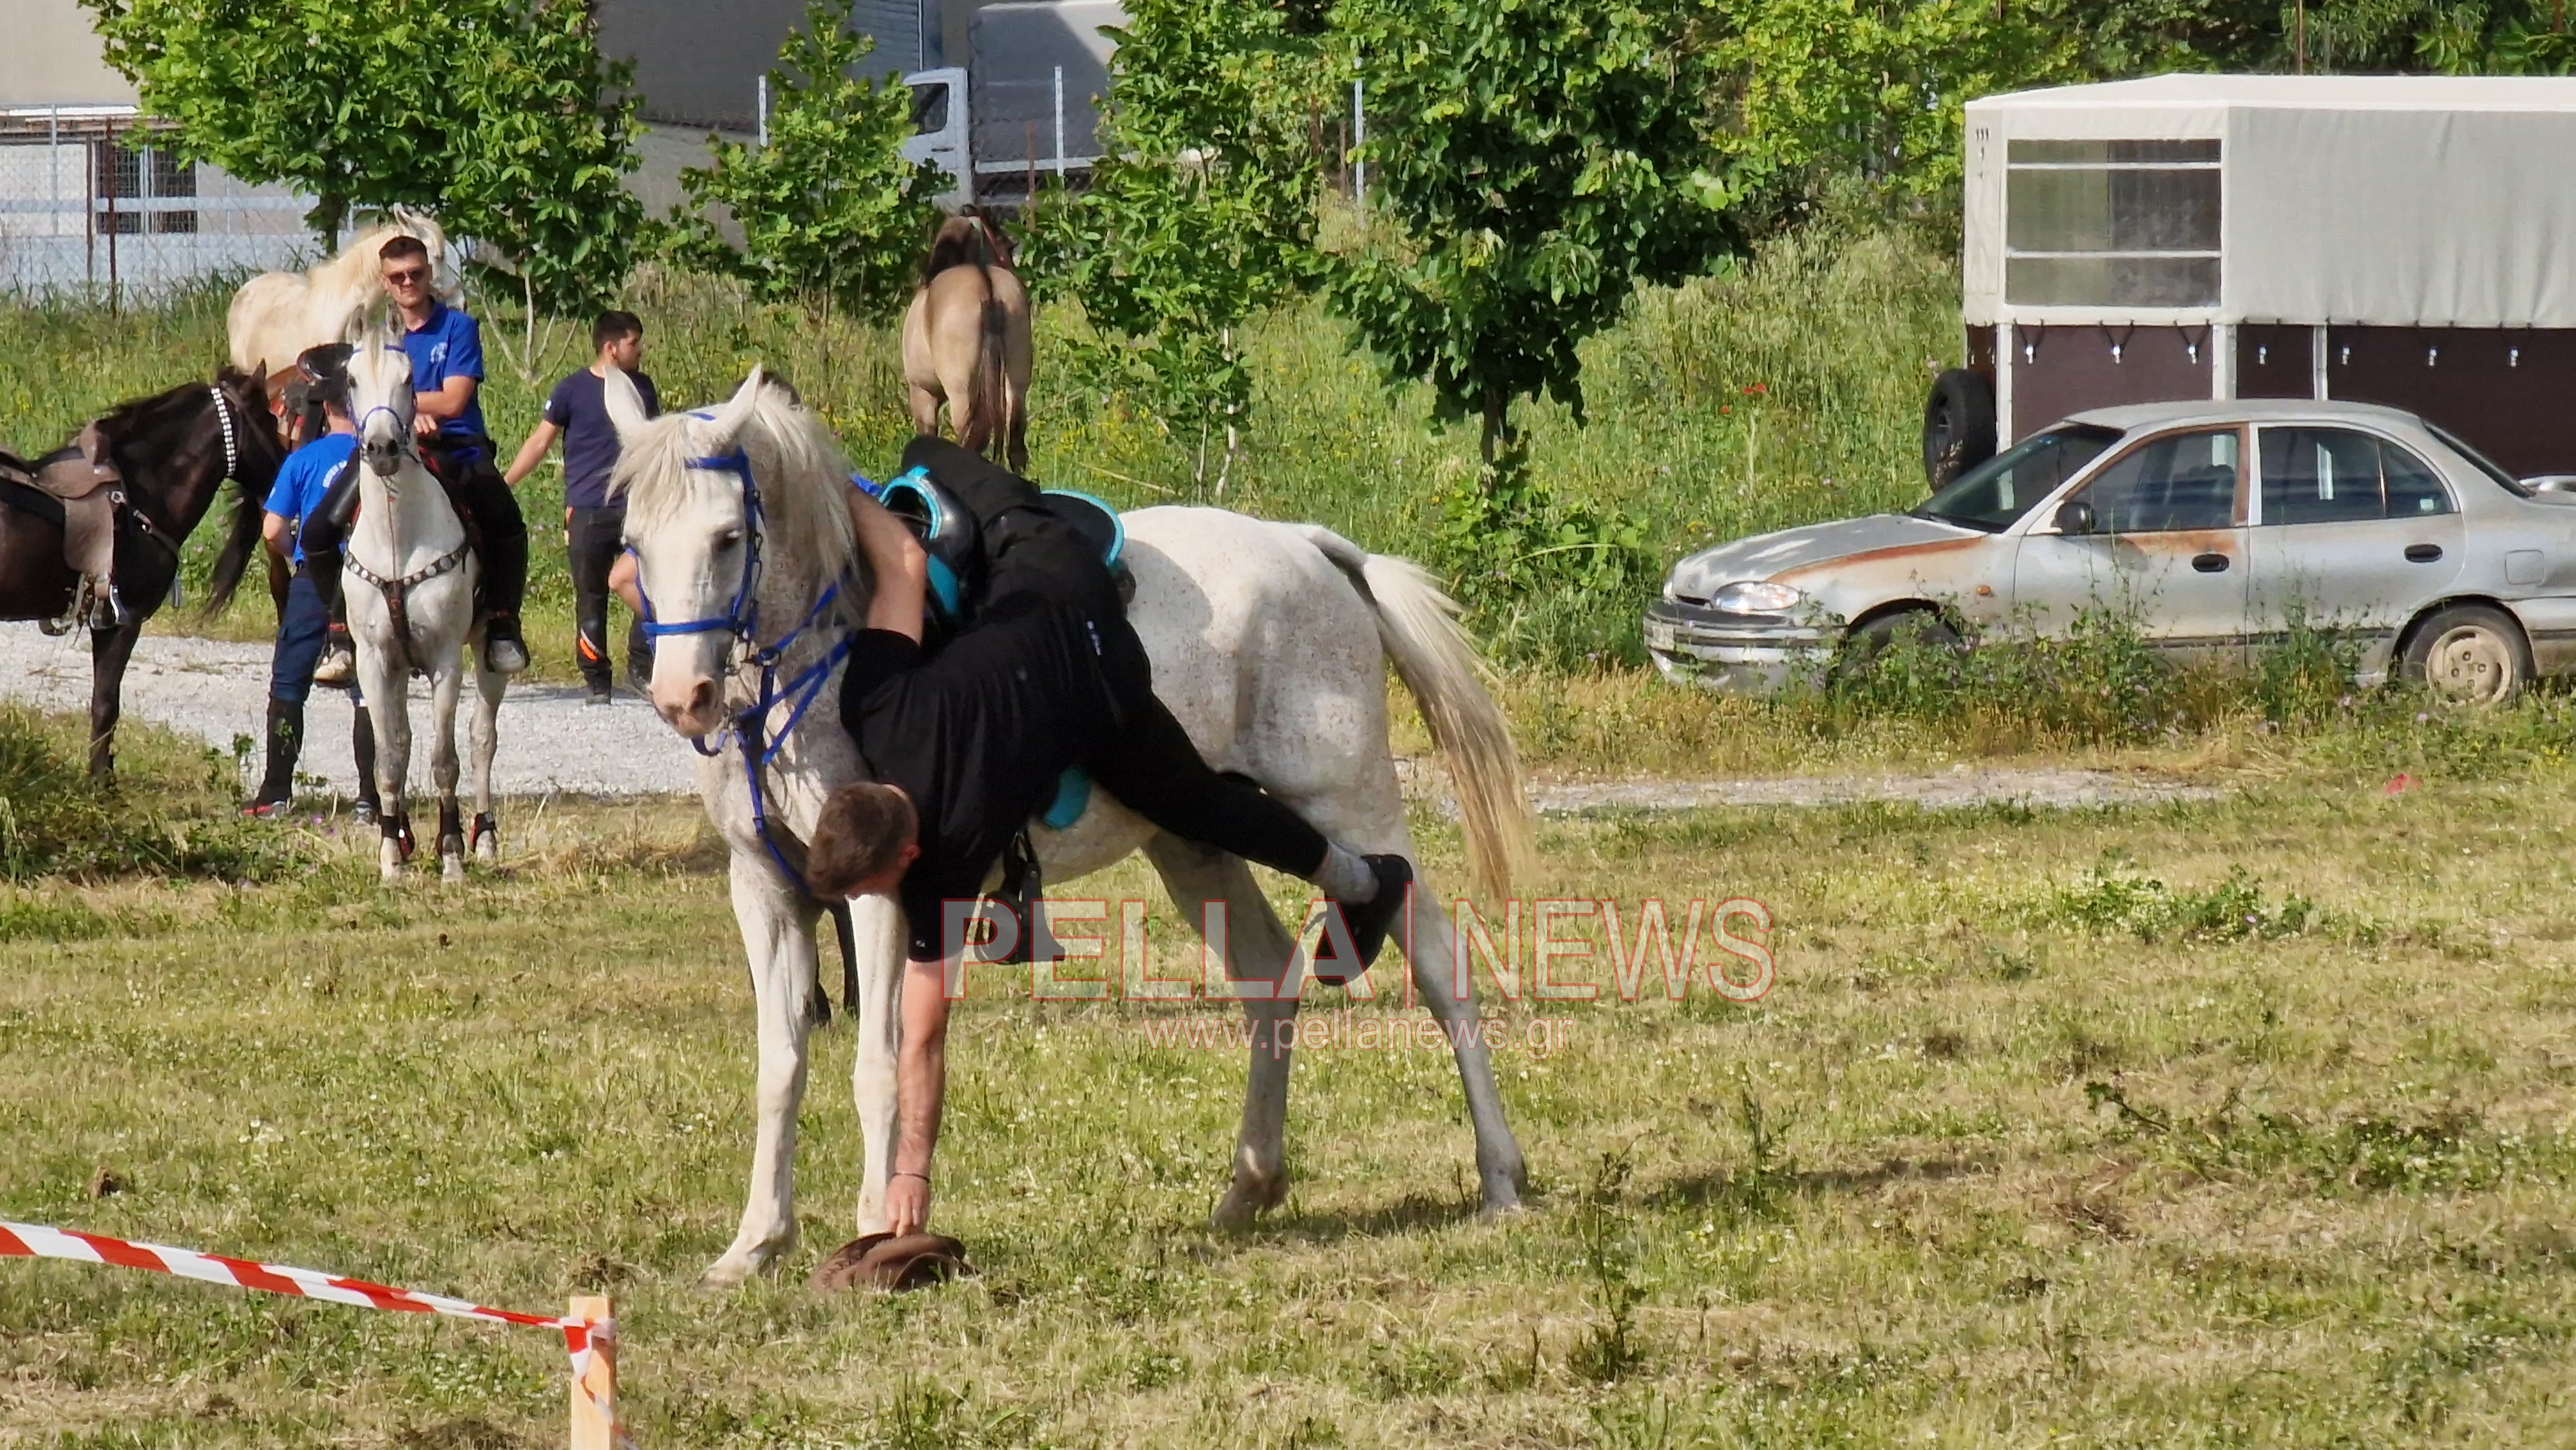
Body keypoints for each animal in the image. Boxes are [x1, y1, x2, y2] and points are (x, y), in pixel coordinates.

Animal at [343, 326, 502, 886]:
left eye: (410, 378)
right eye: (350, 378)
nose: (382, 447)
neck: (398, 539)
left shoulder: (445, 660)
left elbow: (444, 760)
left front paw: (451, 854)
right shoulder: (374, 662)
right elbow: (389, 760)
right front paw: (391, 855)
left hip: (488, 653)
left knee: (481, 740)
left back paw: (485, 839)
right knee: (406, 741)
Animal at [603, 368, 1525, 1288]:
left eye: (728, 538)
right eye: (635, 541)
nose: (681, 696)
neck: (810, 663)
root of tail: (1305, 545)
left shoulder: (885, 896)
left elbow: (879, 1065)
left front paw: (875, 1227)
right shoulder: (765, 888)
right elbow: (781, 1066)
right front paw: (755, 1242)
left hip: (1344, 795)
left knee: (1434, 956)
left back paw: (1500, 1176)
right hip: (1190, 834)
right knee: (1268, 973)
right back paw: (1251, 1185)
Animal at [902, 212, 1030, 474]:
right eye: (1007, 245)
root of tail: (988, 286)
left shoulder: (922, 392)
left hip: (961, 393)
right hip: (1017, 385)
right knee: (1016, 442)